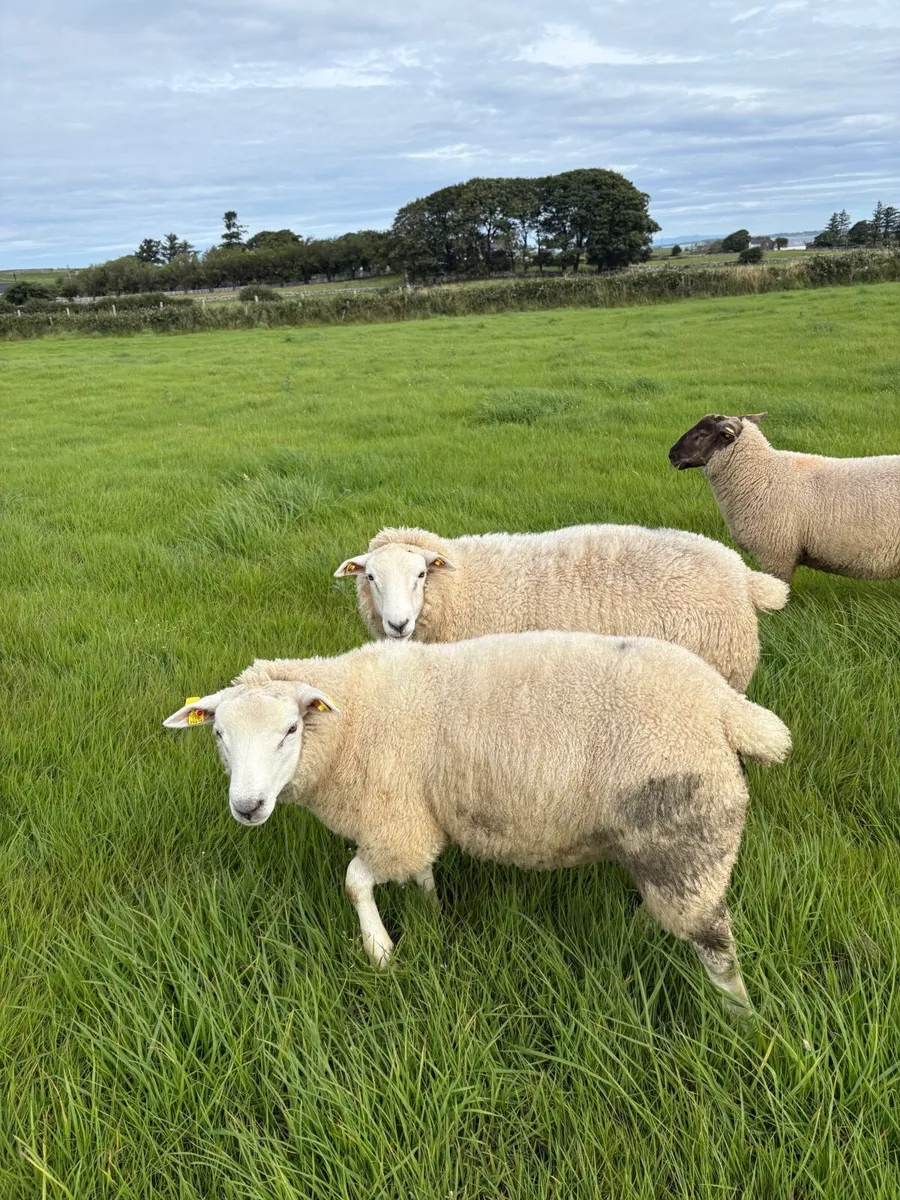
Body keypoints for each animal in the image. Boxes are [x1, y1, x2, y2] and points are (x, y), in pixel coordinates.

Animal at [164, 630, 792, 1010]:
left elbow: (353, 881)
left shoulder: (391, 818)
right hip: (662, 839)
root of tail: (727, 707)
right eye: (219, 735)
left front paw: (379, 951)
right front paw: (431, 913)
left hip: (690, 834)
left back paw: (741, 1023)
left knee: (717, 946)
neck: (354, 718)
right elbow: (419, 873)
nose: (247, 807)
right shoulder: (414, 817)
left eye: (290, 729)